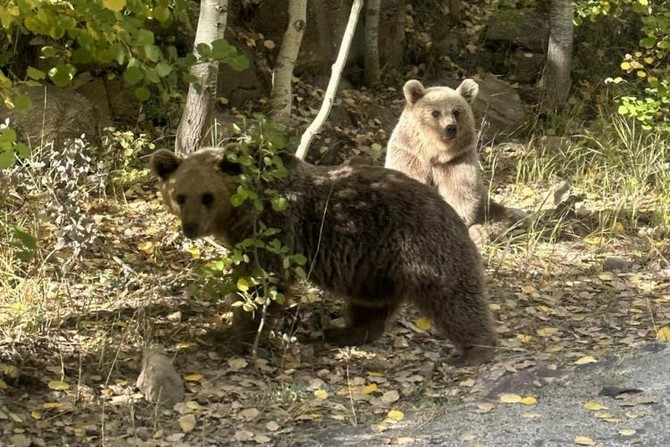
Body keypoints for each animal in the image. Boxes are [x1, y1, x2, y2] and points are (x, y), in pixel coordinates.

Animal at [151, 145, 498, 366]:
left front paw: (235, 337)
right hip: (374, 266)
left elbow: (261, 285)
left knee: (453, 296)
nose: (191, 227)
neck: (244, 210)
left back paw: (476, 349)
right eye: (180, 196)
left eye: (207, 196)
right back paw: (343, 332)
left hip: (420, 247)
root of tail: (448, 208)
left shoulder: (275, 230)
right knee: (371, 304)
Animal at [386, 79, 512, 238]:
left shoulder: (457, 161)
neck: (435, 154)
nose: (451, 128)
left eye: (456, 111)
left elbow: (460, 194)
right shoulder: (410, 157)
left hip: (487, 205)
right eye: (435, 112)